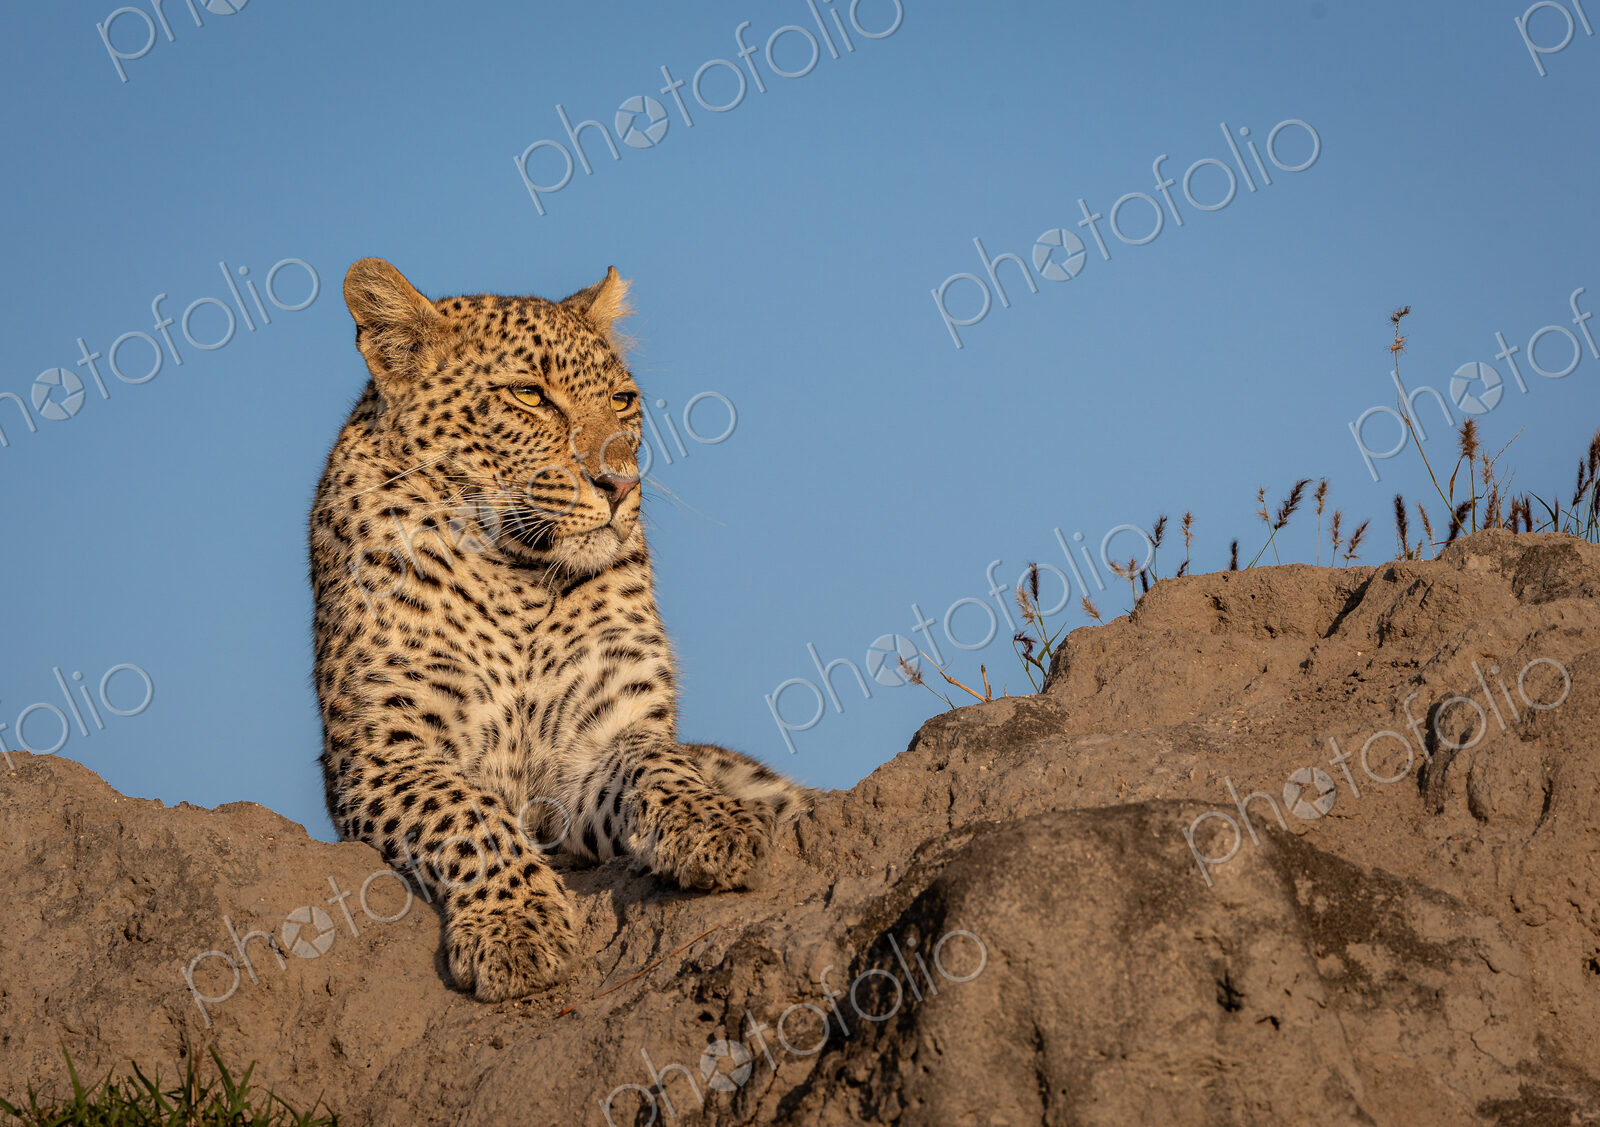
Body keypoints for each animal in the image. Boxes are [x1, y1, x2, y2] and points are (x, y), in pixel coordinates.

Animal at [309, 257, 809, 1001]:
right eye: (528, 396)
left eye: (625, 400)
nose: (620, 485)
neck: (515, 574)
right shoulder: (382, 752)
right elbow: (466, 813)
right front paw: (517, 928)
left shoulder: (595, 742)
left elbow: (660, 763)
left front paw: (713, 822)